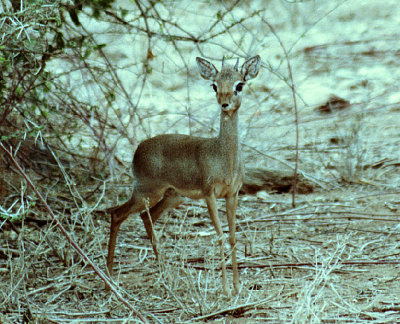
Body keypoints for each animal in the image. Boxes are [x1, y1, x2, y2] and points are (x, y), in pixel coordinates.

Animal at [108, 55, 260, 294]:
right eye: (214, 85)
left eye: (239, 84)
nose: (224, 103)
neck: (223, 158)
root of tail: (138, 149)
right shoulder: (209, 194)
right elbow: (219, 236)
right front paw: (226, 290)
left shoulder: (232, 194)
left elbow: (233, 237)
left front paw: (237, 287)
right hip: (146, 193)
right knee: (116, 214)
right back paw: (108, 280)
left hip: (172, 196)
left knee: (145, 217)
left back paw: (164, 276)